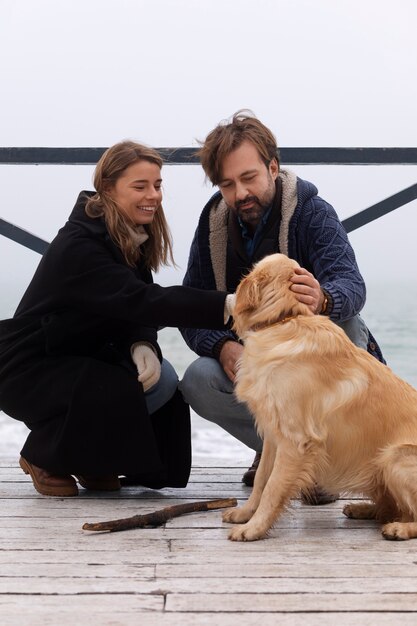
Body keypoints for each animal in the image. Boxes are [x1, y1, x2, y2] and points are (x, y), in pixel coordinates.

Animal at [223, 251, 416, 540]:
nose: (227, 297)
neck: (285, 319)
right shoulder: (273, 434)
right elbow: (261, 481)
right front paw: (245, 514)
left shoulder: (296, 440)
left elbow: (273, 488)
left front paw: (254, 528)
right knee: (391, 506)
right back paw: (363, 509)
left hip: (395, 456)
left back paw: (399, 528)